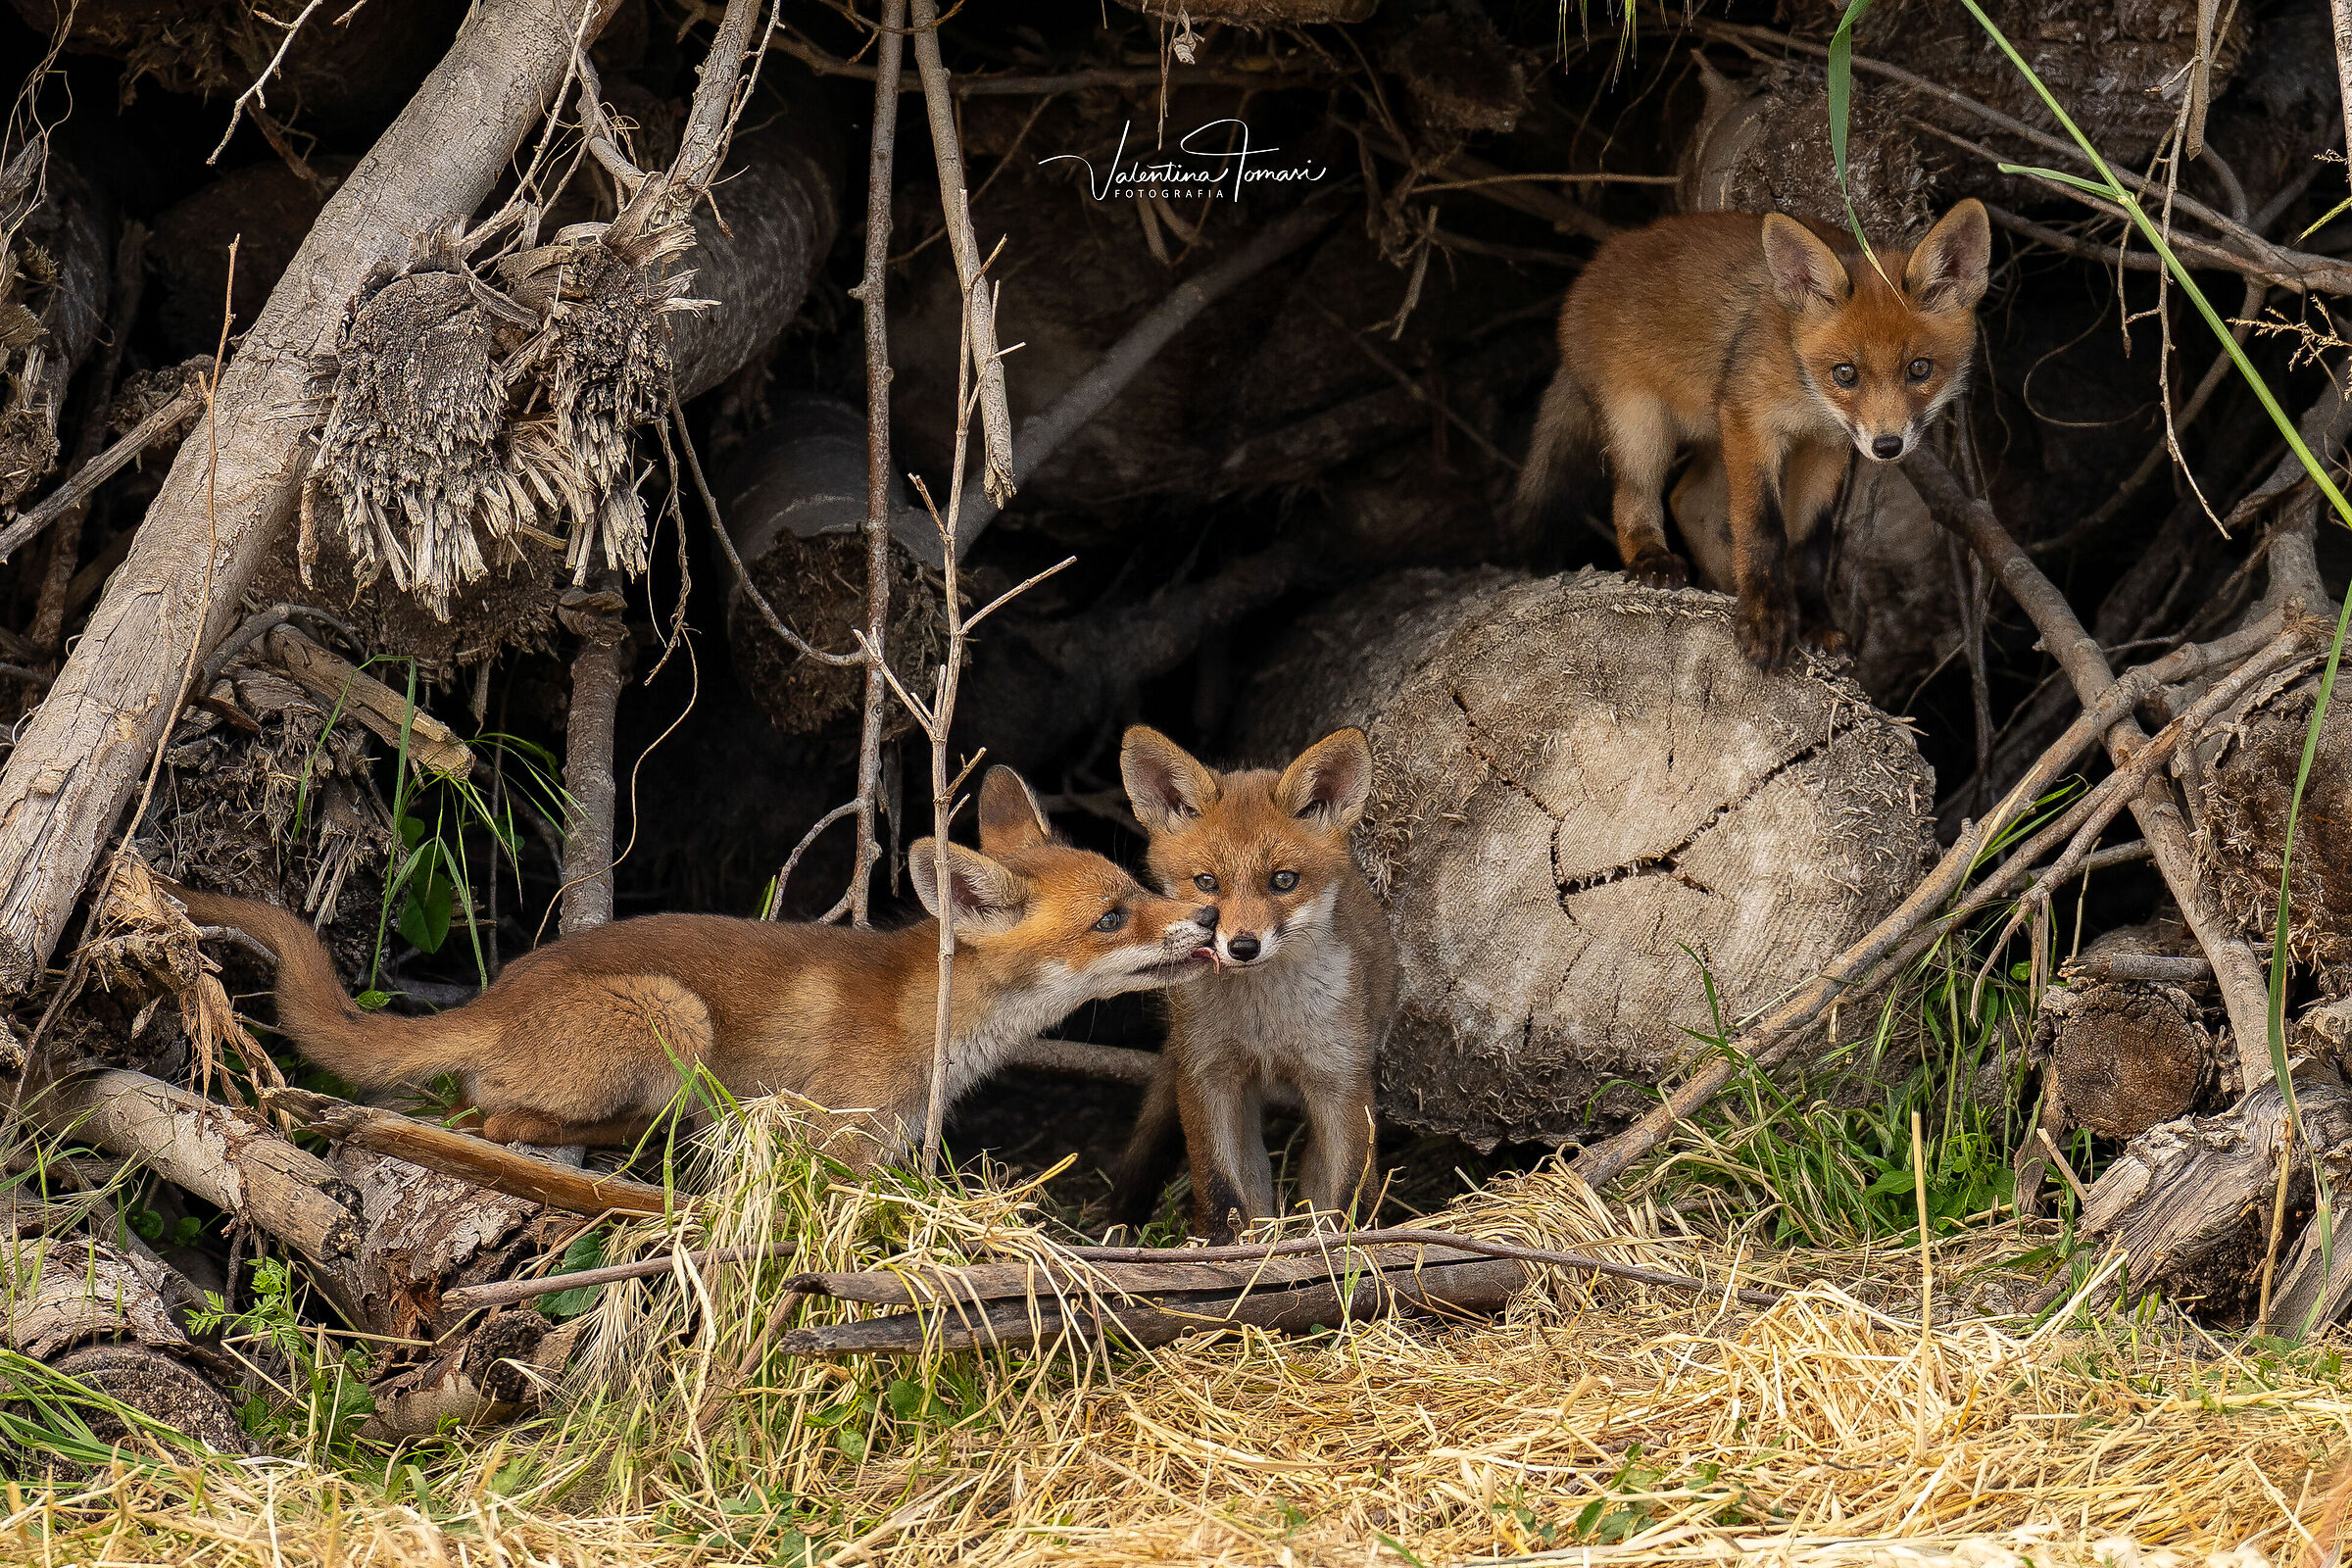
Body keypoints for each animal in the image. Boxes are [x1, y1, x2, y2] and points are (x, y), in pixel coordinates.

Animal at [172, 767, 1215, 1166]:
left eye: (1137, 884)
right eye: (1113, 917)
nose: (1207, 915)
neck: (931, 1022)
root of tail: (498, 994)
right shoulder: (834, 1141)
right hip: (674, 1016)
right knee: (497, 1115)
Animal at [1108, 725, 1398, 1244]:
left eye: (1282, 880)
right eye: (1207, 882)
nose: (1243, 946)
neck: (1263, 1021)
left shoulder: (1340, 1077)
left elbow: (1348, 1187)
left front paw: (1347, 1243)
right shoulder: (1208, 1074)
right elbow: (1220, 1186)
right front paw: (1220, 1245)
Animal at [1509, 199, 1991, 671]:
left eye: (1919, 369)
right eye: (1845, 374)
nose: (1887, 446)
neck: (1805, 387)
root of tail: (1598, 261)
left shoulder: (1826, 444)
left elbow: (1808, 545)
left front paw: (1814, 622)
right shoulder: (1750, 420)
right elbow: (1761, 527)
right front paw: (1766, 619)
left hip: (1711, 434)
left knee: (1689, 501)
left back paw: (1724, 588)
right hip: (1641, 424)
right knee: (1634, 498)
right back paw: (1652, 559)